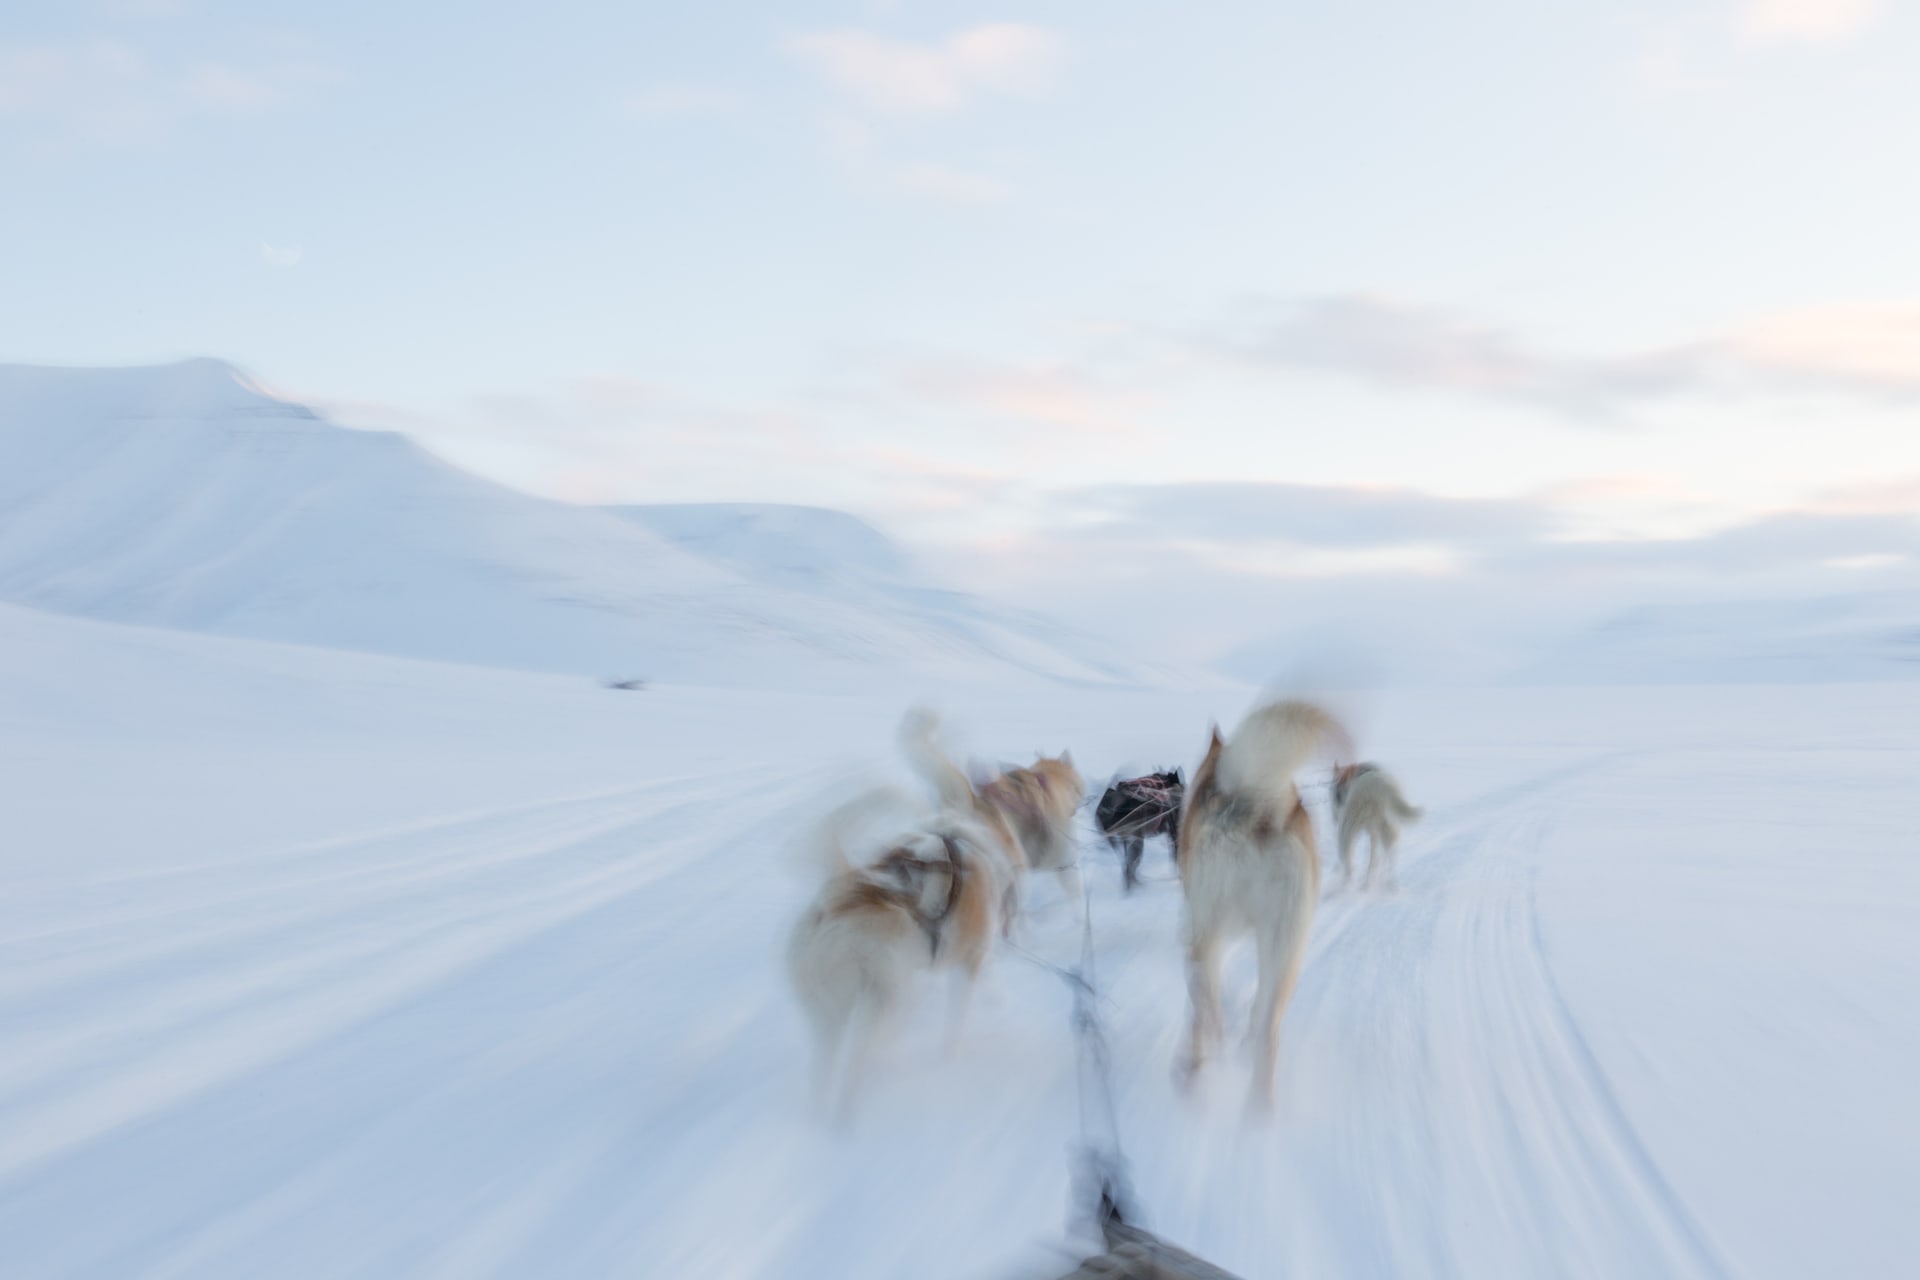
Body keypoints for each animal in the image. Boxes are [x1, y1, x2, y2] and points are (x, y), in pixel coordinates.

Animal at [1167, 702, 1351, 1113]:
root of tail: (1258, 805)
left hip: (1206, 935)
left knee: (1206, 1008)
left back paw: (1195, 1067)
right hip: (1285, 950)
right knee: (1267, 1030)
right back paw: (1258, 1110)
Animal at [1336, 759, 1428, 890]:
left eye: (1340, 781)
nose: (1337, 796)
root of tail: (1383, 783)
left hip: (1363, 824)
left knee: (1362, 855)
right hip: (1386, 827)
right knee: (1387, 854)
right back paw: (1387, 882)